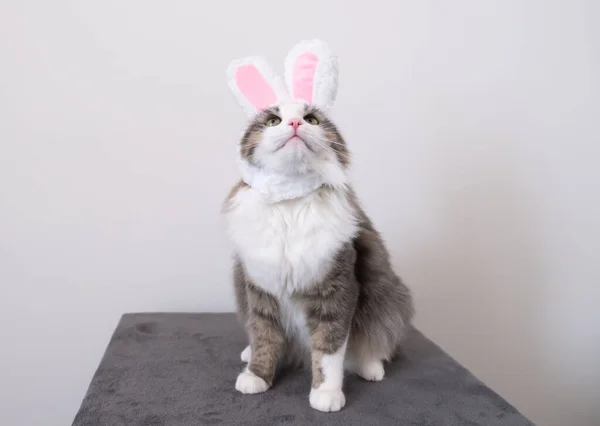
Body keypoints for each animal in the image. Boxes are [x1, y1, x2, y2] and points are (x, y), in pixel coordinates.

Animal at [223, 40, 414, 412]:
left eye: (311, 119)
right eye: (273, 120)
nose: (296, 122)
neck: (290, 200)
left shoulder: (335, 290)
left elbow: (328, 350)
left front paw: (326, 393)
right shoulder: (259, 288)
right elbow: (264, 336)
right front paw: (257, 377)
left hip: (387, 296)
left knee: (375, 341)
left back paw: (371, 367)